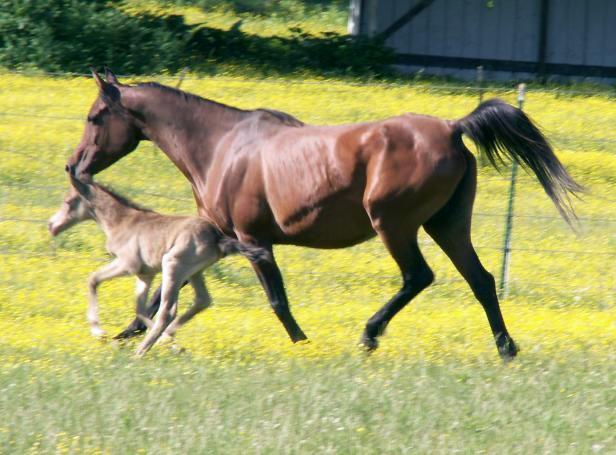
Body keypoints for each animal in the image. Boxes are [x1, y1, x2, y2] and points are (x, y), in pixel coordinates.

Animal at [67, 68, 584, 360]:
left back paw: (369, 336)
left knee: (418, 276)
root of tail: (452, 128)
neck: (221, 147)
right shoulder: (212, 241)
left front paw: (304, 345)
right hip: (447, 224)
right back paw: (506, 348)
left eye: (95, 117)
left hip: (395, 224)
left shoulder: (253, 242)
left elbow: (277, 301)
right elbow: (163, 295)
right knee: (481, 280)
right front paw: (128, 334)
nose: (74, 166)